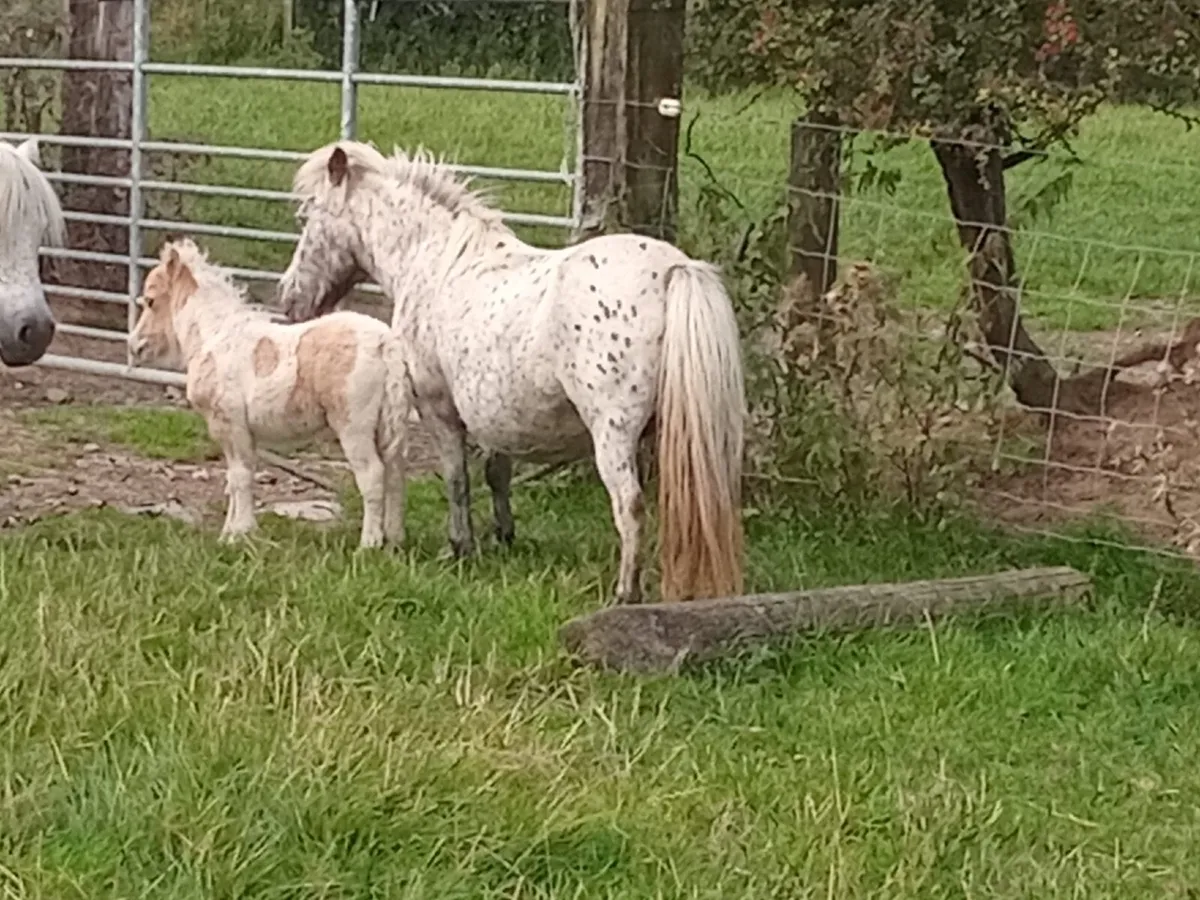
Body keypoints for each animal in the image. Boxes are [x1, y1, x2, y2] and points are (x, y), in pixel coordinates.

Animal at [129, 237, 411, 549]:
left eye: (150, 300)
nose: (135, 345)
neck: (215, 336)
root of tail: (385, 343)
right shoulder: (238, 432)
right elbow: (235, 478)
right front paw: (230, 534)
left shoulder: (230, 424)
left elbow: (240, 477)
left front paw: (240, 534)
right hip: (386, 424)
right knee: (395, 472)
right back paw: (394, 538)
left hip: (354, 426)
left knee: (373, 475)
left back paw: (369, 545)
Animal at [277, 141, 746, 604]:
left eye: (307, 215)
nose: (290, 299)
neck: (436, 261)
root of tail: (672, 270)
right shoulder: (497, 412)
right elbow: (496, 473)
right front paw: (504, 537)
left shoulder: (437, 408)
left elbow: (457, 478)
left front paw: (460, 547)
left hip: (613, 434)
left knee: (629, 506)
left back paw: (624, 594)